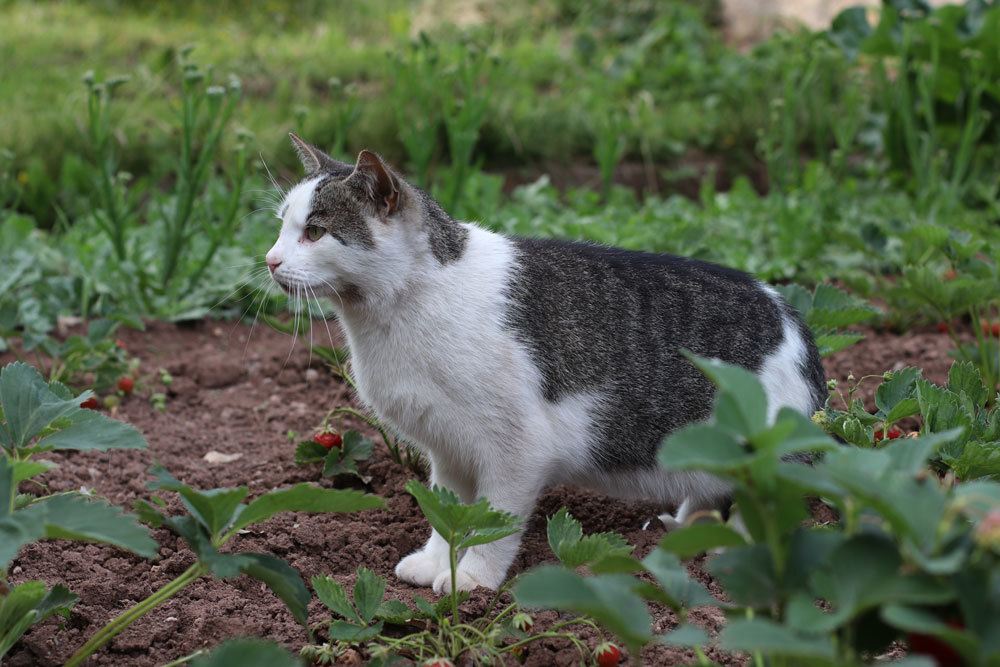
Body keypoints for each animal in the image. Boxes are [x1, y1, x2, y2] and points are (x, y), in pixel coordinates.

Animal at [266, 133, 828, 592]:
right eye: (281, 228)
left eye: (314, 231)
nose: (270, 260)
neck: (393, 313)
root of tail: (793, 316)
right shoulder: (447, 449)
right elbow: (447, 516)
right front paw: (435, 563)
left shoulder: (517, 450)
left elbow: (493, 525)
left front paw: (473, 580)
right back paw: (686, 525)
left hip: (765, 457)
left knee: (768, 509)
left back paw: (734, 549)